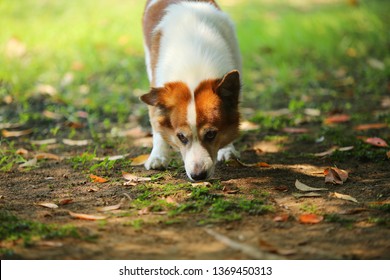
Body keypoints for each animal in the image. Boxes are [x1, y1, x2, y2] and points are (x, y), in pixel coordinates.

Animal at [142, 0, 242, 180]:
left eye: (211, 134)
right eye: (181, 137)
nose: (198, 176)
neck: (193, 75)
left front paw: (228, 149)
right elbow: (157, 124)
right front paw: (158, 156)